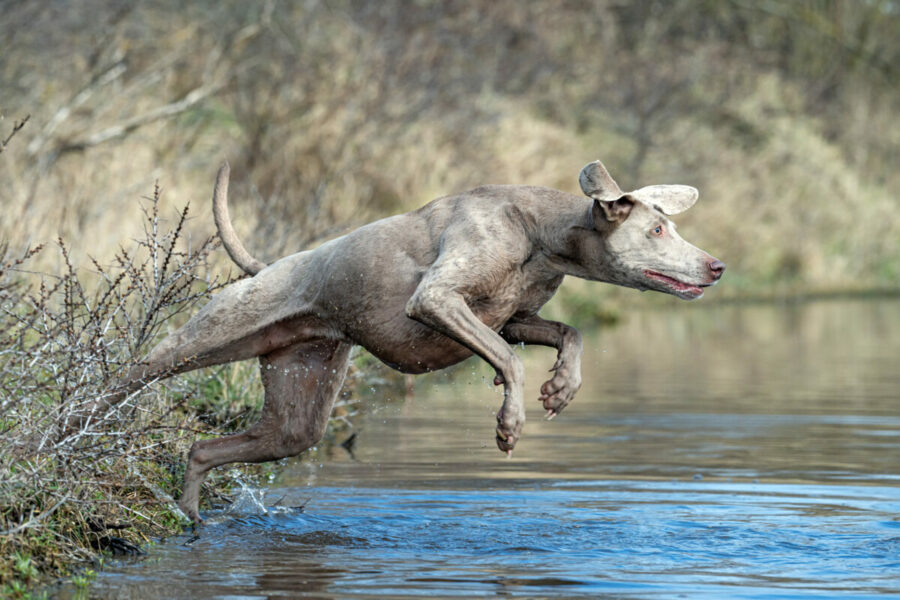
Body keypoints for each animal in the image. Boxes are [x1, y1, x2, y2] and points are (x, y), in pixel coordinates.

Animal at [118, 159, 724, 520]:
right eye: (657, 229)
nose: (717, 266)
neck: (541, 235)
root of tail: (268, 267)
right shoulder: (435, 300)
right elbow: (509, 362)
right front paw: (510, 424)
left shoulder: (514, 318)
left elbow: (568, 332)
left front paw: (562, 387)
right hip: (206, 337)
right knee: (133, 373)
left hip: (298, 410)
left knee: (207, 448)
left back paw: (191, 512)